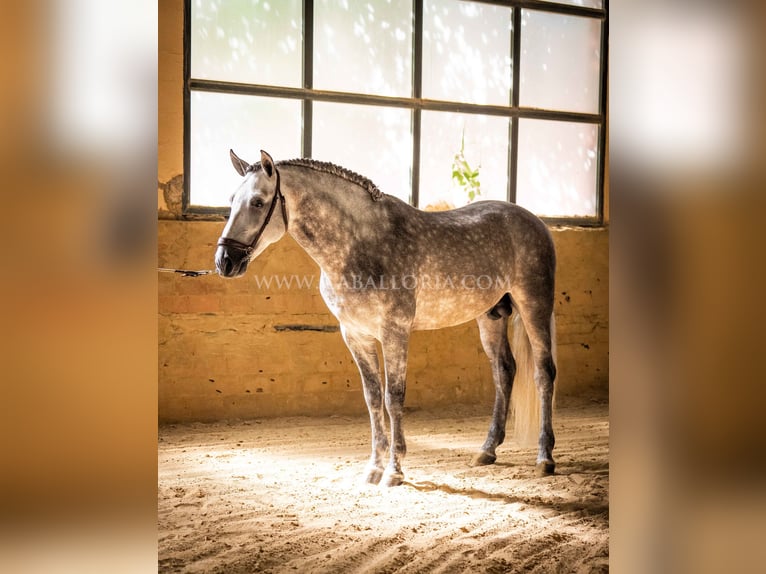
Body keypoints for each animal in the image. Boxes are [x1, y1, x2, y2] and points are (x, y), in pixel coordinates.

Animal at [216, 150, 560, 490]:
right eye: (231, 200)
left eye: (257, 202)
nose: (225, 262)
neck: (359, 245)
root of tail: (534, 221)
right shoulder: (355, 335)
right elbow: (372, 399)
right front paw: (374, 468)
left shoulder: (395, 332)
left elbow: (393, 398)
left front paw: (395, 470)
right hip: (491, 316)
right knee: (504, 371)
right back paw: (487, 450)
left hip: (534, 306)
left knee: (544, 373)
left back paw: (544, 457)